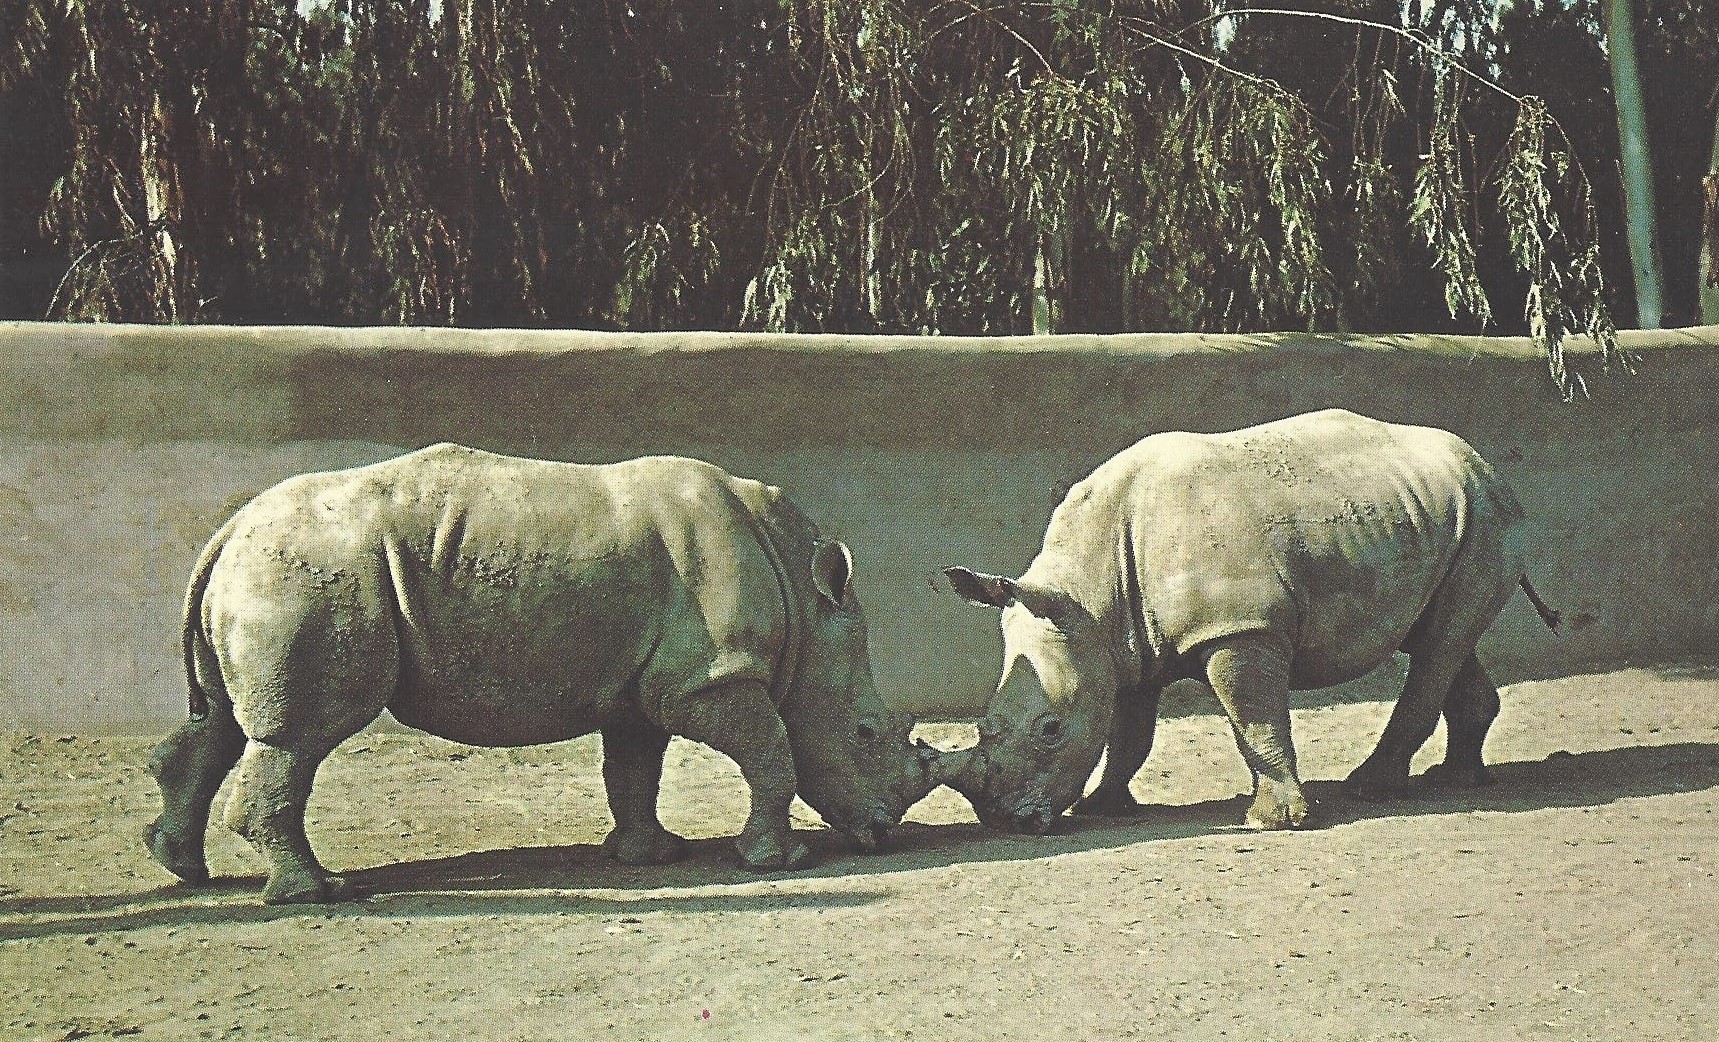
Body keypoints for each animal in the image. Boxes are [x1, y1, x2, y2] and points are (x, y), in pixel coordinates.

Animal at [145, 444, 945, 903]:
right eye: (867, 732)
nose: (883, 836)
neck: (805, 603)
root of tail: (229, 529)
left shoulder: (644, 684)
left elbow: (634, 768)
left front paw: (649, 856)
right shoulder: (712, 677)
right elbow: (773, 752)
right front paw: (775, 860)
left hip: (271, 573)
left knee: (224, 721)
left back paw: (182, 866)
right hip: (313, 574)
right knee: (297, 735)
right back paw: (315, 893)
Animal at [933, 409, 1560, 833]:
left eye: (1049, 729)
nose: (1001, 819)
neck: (1086, 592)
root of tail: (1486, 464)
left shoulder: (1240, 627)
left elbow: (1253, 718)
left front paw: (1271, 822)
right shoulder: (1122, 646)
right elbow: (1129, 733)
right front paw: (1104, 808)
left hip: (1486, 516)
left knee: (1439, 645)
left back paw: (1370, 790)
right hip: (1441, 515)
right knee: (1441, 638)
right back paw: (1455, 780)